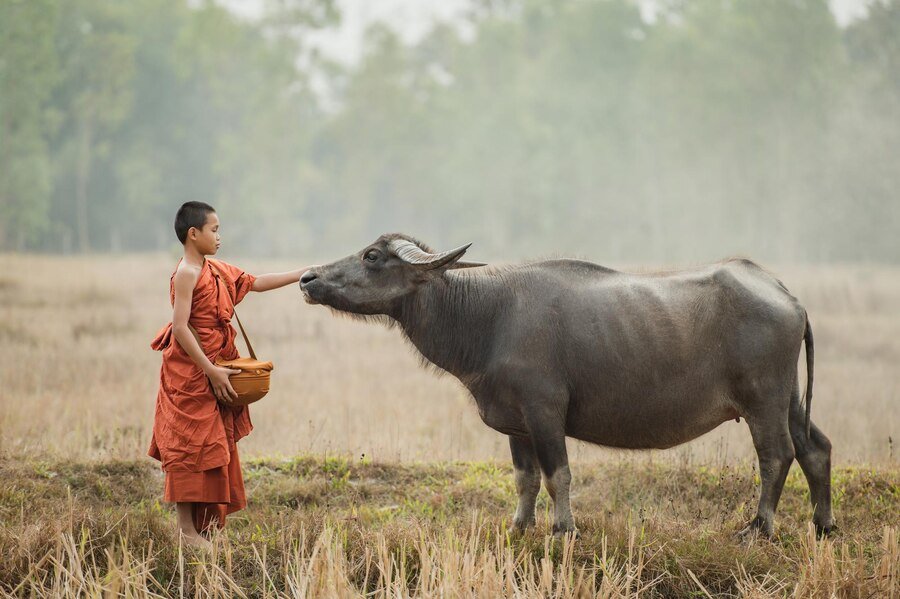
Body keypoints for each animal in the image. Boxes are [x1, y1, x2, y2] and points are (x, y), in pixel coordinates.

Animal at [298, 236, 832, 540]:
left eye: (371, 256)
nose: (307, 277)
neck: (488, 317)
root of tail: (787, 295)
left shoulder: (545, 412)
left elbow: (559, 475)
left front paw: (562, 530)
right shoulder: (516, 425)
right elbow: (525, 479)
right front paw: (519, 527)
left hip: (763, 400)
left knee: (776, 455)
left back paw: (759, 529)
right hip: (788, 400)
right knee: (816, 448)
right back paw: (823, 525)